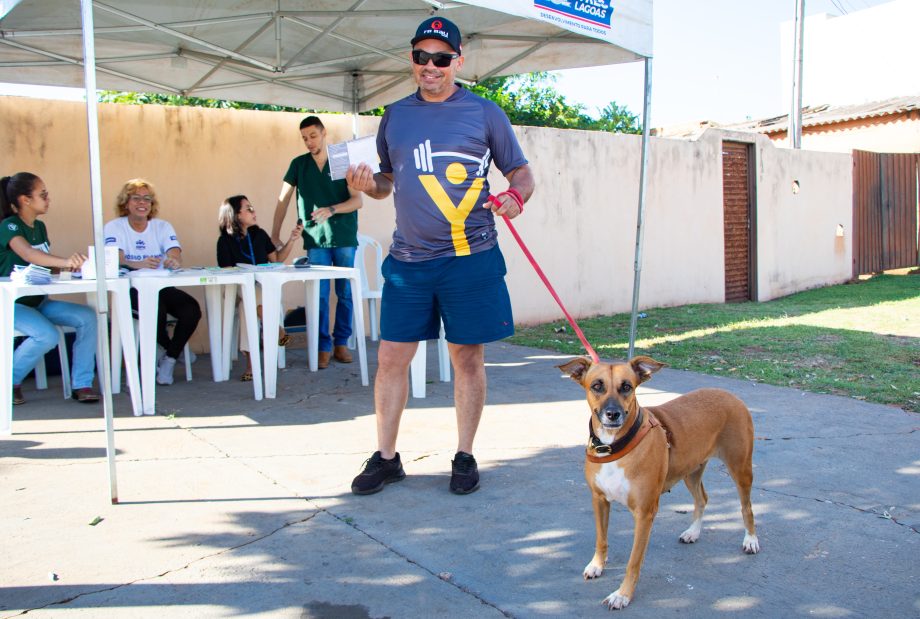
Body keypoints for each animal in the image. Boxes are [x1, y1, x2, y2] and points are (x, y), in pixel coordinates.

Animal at [556, 354, 760, 612]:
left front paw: (622, 595)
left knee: (746, 507)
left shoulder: (644, 513)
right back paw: (693, 532)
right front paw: (597, 565)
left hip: (740, 467)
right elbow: (601, 539)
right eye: (597, 386)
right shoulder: (599, 500)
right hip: (690, 470)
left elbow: (633, 561)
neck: (615, 446)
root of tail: (729, 394)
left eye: (627, 387)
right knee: (702, 499)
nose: (613, 414)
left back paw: (750, 540)